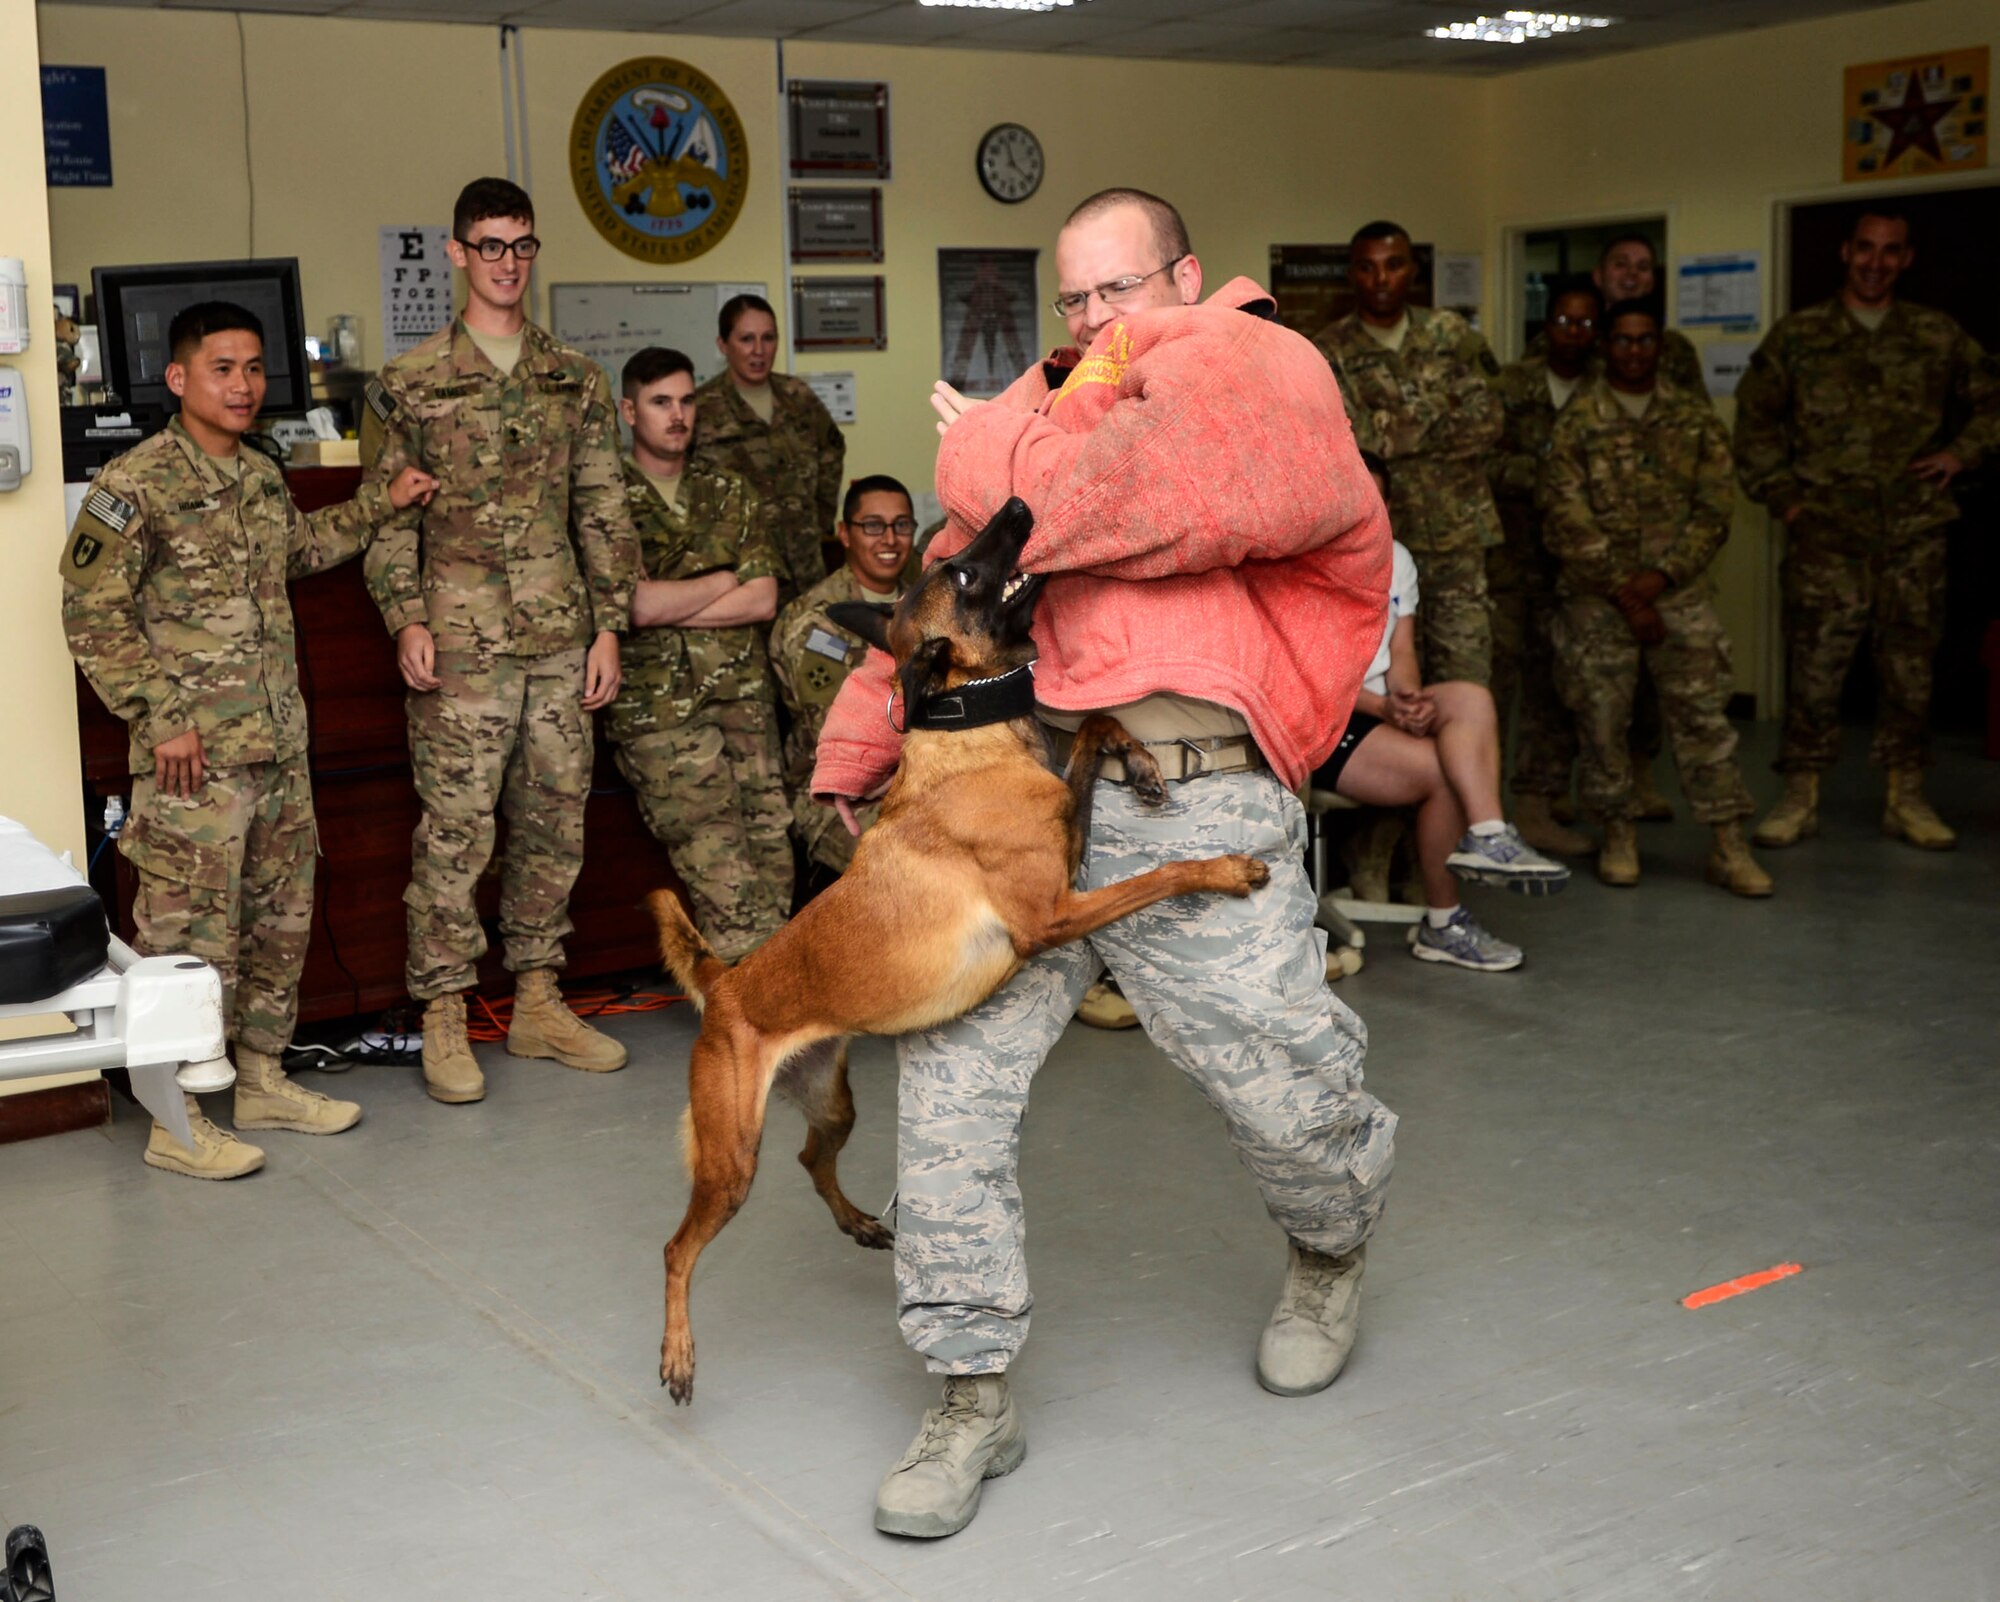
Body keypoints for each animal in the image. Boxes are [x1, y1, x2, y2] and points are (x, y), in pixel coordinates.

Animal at [648, 496, 1272, 1400]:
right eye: (967, 574)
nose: (1014, 504)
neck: (967, 735)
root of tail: (725, 985)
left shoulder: (1062, 850)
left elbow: (1092, 732)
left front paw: (1141, 758)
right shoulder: (1054, 913)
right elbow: (1162, 872)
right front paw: (1225, 868)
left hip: (829, 1102)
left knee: (810, 1157)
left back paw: (861, 1222)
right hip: (730, 1159)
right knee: (676, 1248)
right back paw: (678, 1352)